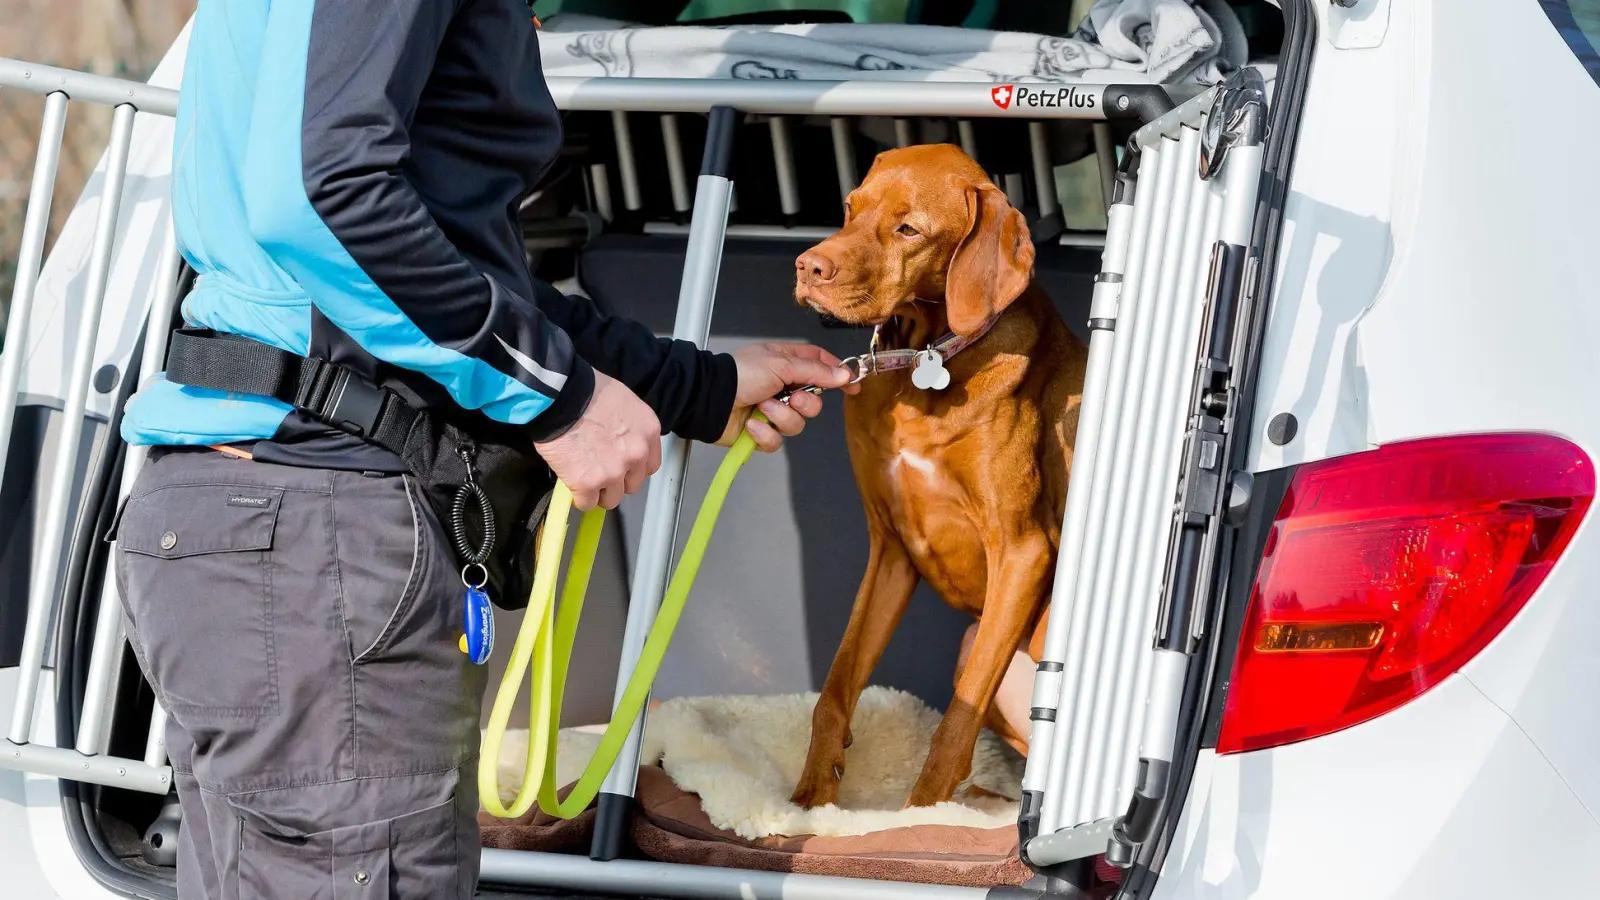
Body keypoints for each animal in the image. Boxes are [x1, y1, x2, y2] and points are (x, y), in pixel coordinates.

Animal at [790, 145, 1088, 807]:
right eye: (850, 206)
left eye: (909, 229)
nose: (807, 267)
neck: (924, 364)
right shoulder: (890, 548)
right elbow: (836, 687)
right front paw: (806, 800)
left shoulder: (1023, 551)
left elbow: (954, 723)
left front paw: (914, 817)